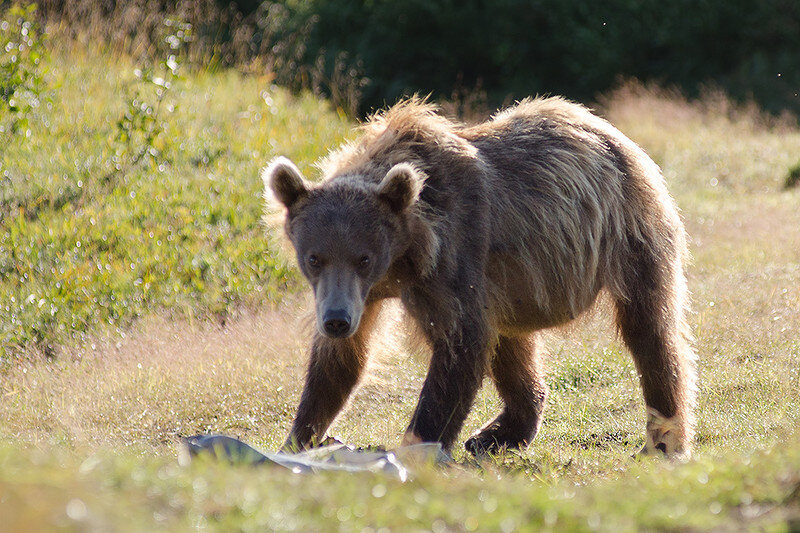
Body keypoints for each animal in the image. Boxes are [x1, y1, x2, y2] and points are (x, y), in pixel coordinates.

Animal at [262, 95, 692, 458]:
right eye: (314, 258)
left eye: (364, 258)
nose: (336, 320)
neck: (405, 258)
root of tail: (607, 130)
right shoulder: (360, 295)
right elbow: (339, 363)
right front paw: (297, 439)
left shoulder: (454, 260)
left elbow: (460, 347)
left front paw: (417, 444)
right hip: (515, 283)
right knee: (512, 344)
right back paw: (497, 433)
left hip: (625, 232)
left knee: (649, 329)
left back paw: (664, 437)